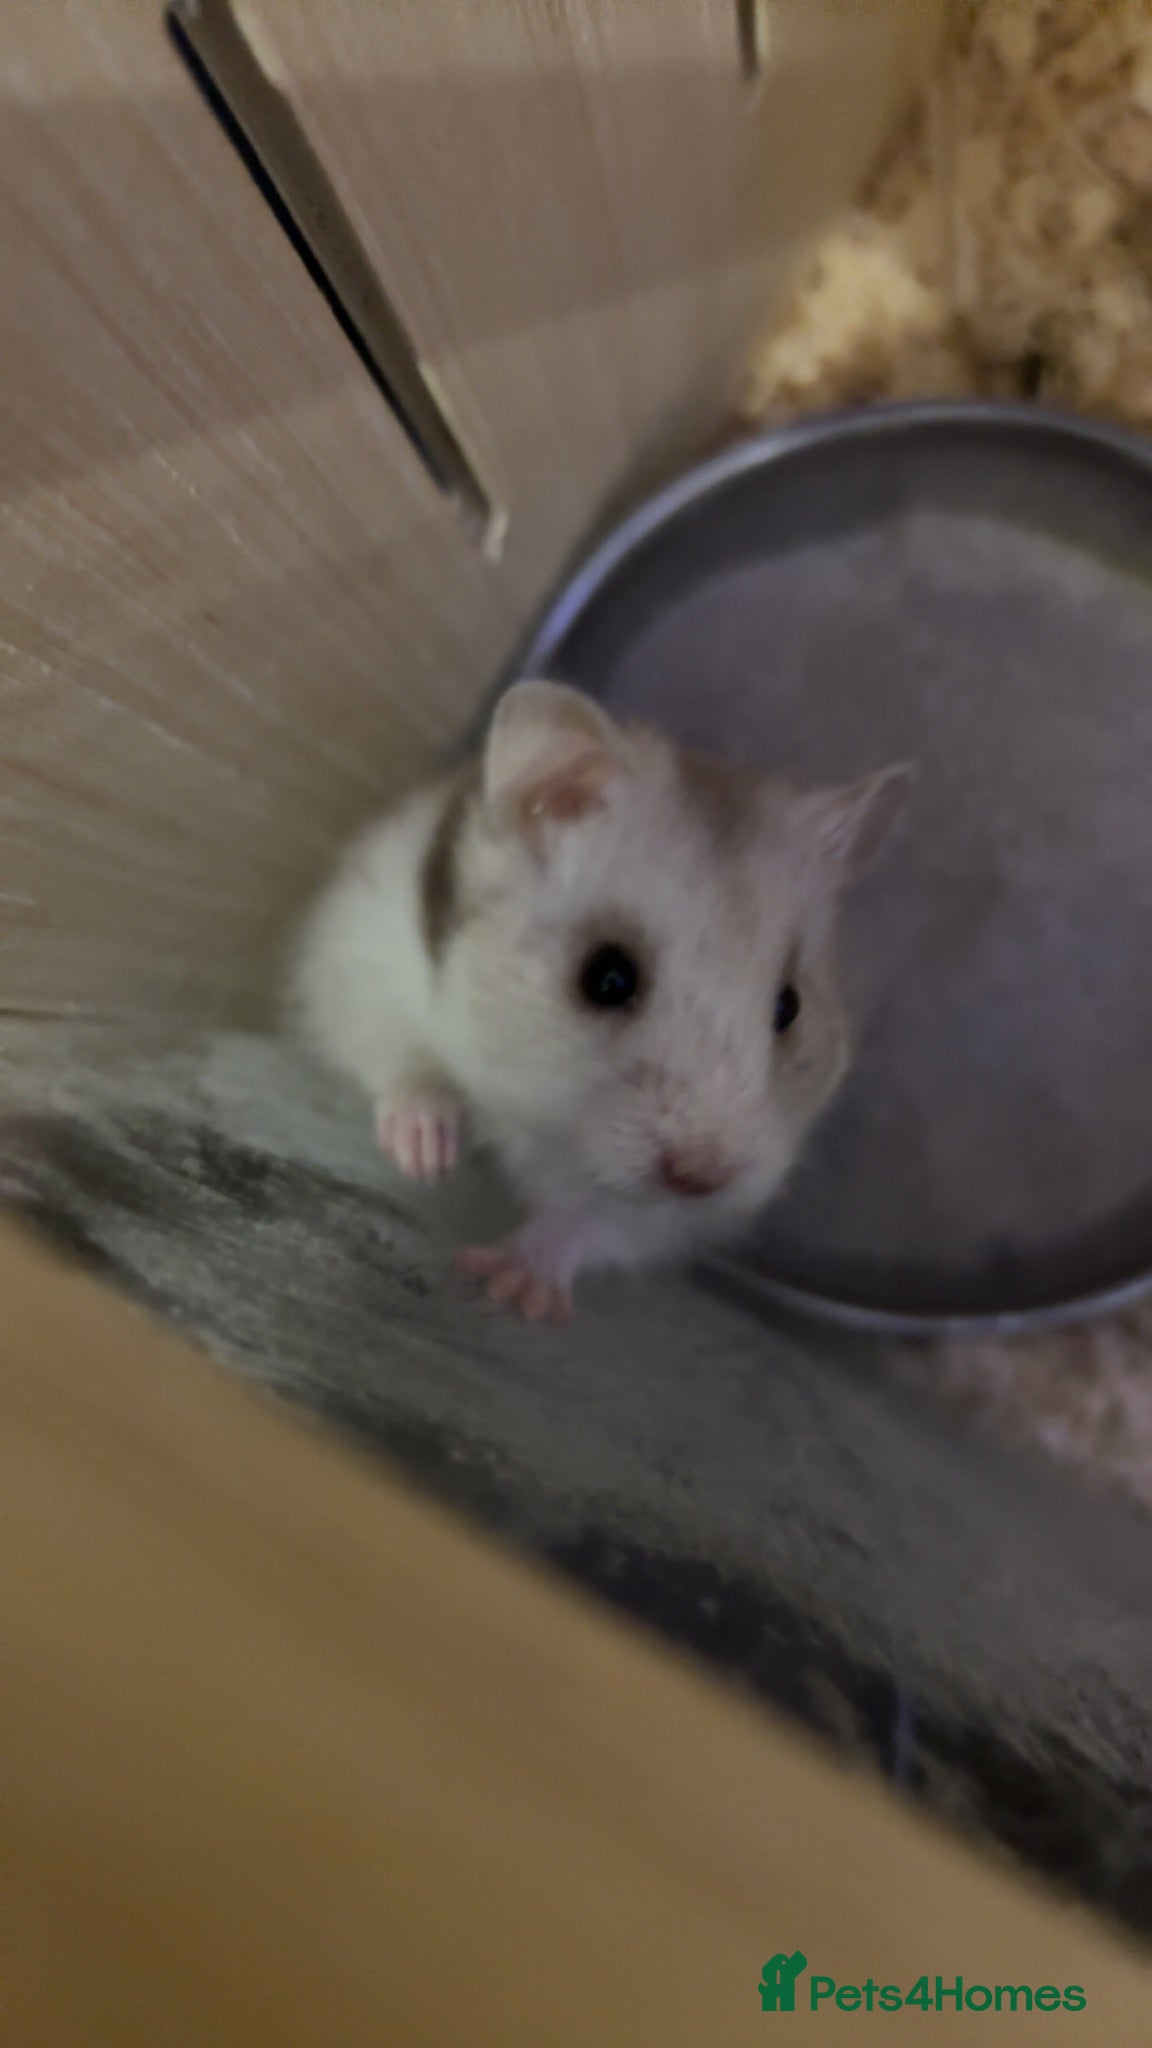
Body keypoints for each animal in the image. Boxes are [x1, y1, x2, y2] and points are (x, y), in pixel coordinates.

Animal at [288, 679, 912, 1322]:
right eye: (607, 978)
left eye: (789, 1008)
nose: (700, 1179)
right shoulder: (367, 956)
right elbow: (406, 1062)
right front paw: (425, 1160)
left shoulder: (660, 1216)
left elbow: (589, 1219)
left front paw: (515, 1291)